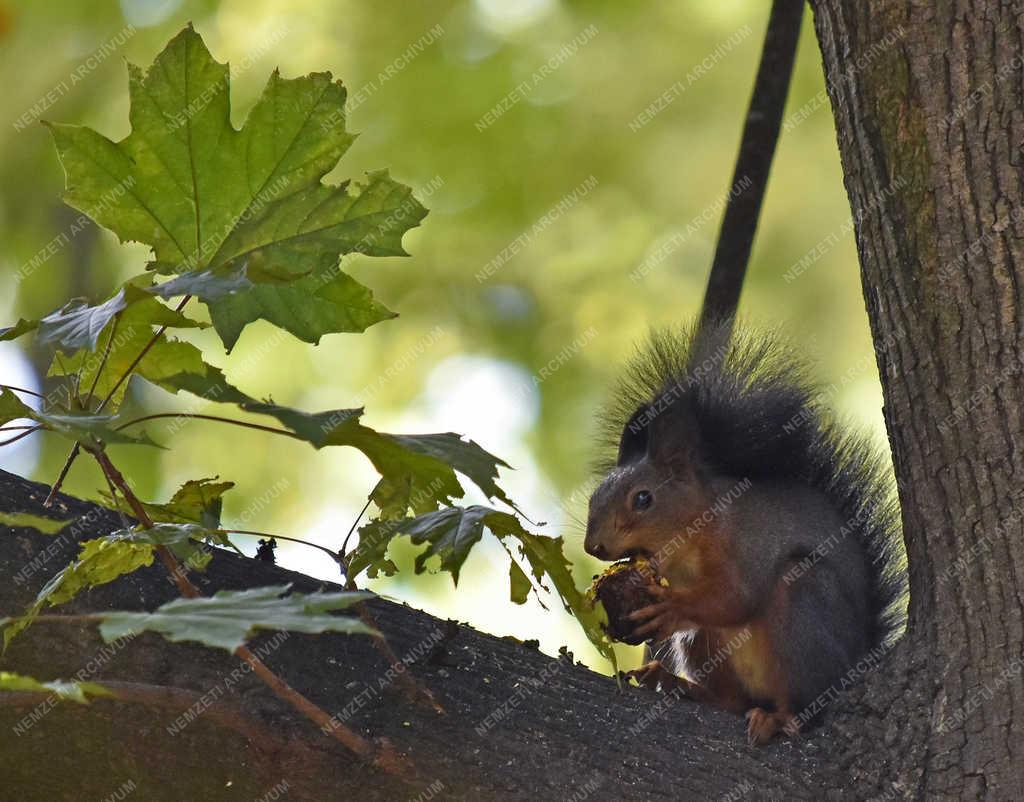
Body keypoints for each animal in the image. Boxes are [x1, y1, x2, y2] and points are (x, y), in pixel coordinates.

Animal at [581, 321, 909, 745]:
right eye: (594, 496)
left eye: (643, 499)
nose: (594, 546)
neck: (690, 539)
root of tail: (856, 663)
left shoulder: (746, 543)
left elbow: (737, 597)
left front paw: (672, 608)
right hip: (705, 647)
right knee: (731, 699)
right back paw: (677, 683)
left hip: (805, 603)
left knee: (804, 703)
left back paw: (779, 718)